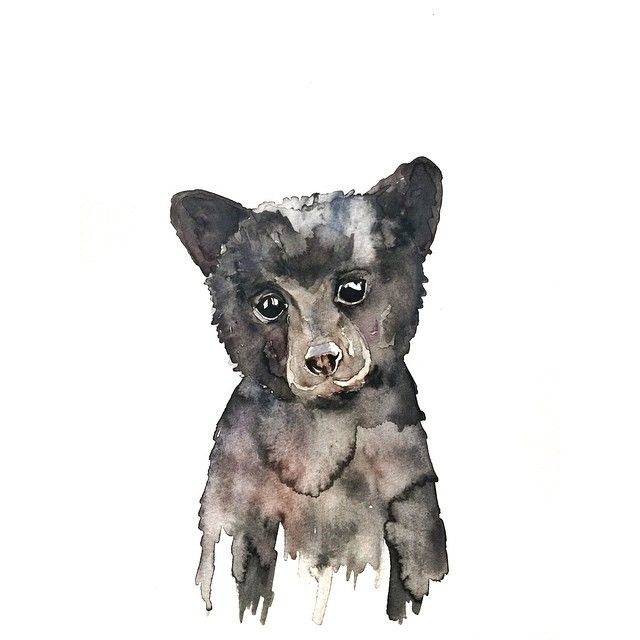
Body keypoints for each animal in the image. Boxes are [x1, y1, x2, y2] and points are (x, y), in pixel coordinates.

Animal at [170, 157, 448, 624]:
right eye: (269, 304)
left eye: (352, 289)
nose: (322, 359)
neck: (321, 432)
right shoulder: (236, 516)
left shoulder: (410, 504)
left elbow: (414, 575)